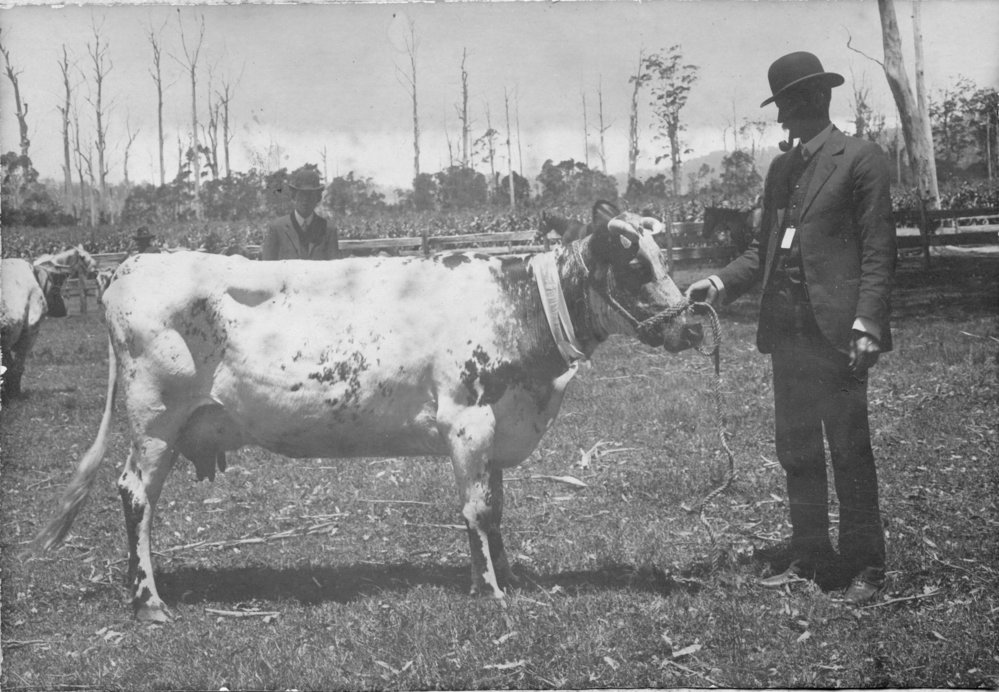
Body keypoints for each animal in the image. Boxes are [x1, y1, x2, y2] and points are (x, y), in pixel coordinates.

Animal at [1, 258, 69, 401]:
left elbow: (8, 365)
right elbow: (16, 367)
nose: (64, 310)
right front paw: (15, 394)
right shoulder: (29, 331)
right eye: (55, 290)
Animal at [34, 212, 703, 623]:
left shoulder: (496, 427)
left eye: (666, 259)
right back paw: (149, 600)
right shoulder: (468, 421)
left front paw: (507, 575)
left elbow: (496, 507)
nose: (692, 326)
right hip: (154, 421)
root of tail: (132, 265)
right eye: (637, 267)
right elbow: (477, 511)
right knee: (135, 495)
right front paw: (489, 591)